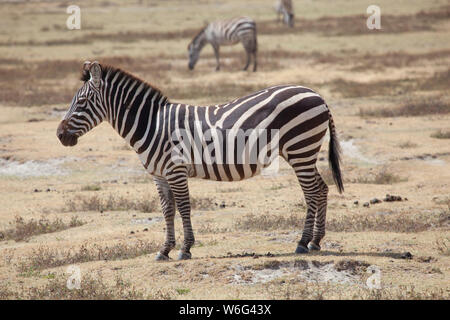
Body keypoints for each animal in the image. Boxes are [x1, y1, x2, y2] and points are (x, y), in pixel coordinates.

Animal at [56, 62, 344, 260]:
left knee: (311, 192)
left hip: (300, 149)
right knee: (321, 189)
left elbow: (184, 207)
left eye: (82, 102)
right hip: (305, 152)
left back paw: (302, 243)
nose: (59, 135)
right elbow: (167, 210)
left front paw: (185, 249)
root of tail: (318, 95)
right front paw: (164, 250)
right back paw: (316, 241)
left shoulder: (176, 170)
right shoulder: (159, 174)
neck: (152, 124)